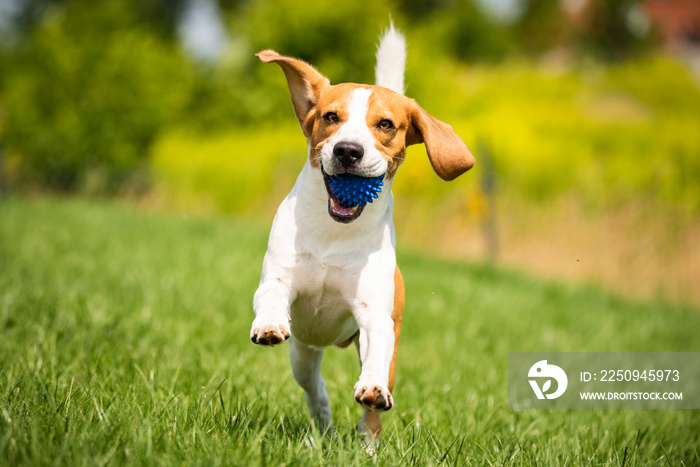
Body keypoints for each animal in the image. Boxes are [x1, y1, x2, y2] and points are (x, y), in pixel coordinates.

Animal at [249, 27, 474, 444]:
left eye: (385, 124)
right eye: (330, 117)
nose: (348, 150)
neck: (334, 234)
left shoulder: (375, 314)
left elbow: (376, 348)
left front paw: (371, 390)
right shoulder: (279, 278)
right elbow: (270, 294)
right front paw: (269, 324)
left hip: (389, 357)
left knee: (373, 410)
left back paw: (367, 440)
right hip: (303, 352)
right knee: (314, 387)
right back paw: (321, 425)